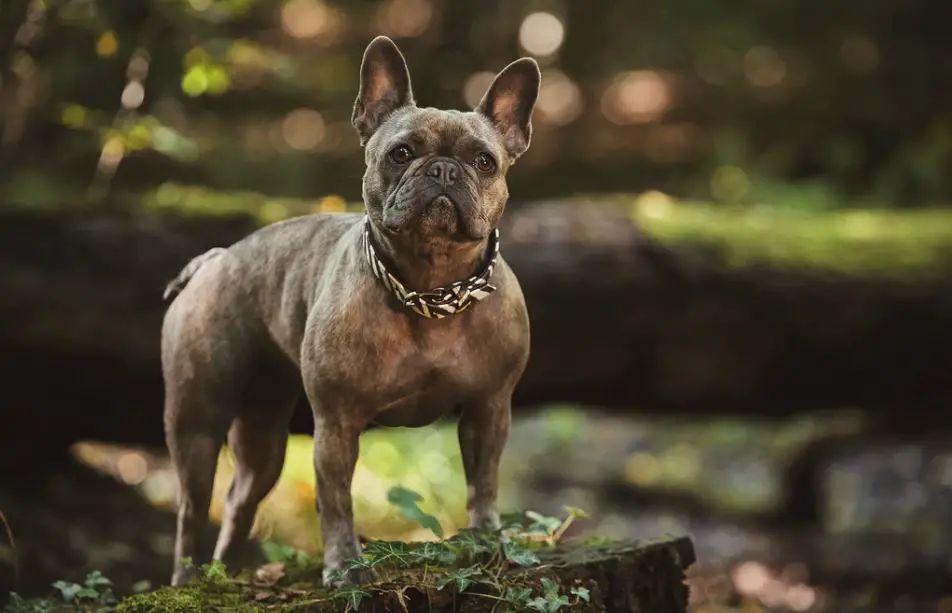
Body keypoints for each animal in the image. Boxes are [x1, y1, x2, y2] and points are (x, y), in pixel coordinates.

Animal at [160, 34, 540, 588]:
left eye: (485, 161)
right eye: (401, 154)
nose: (444, 169)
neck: (431, 289)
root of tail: (216, 259)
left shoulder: (489, 409)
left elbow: (483, 485)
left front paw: (488, 543)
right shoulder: (336, 423)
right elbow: (335, 499)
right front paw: (344, 567)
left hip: (263, 434)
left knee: (239, 498)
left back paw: (225, 574)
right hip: (197, 420)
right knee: (192, 508)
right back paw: (189, 582)